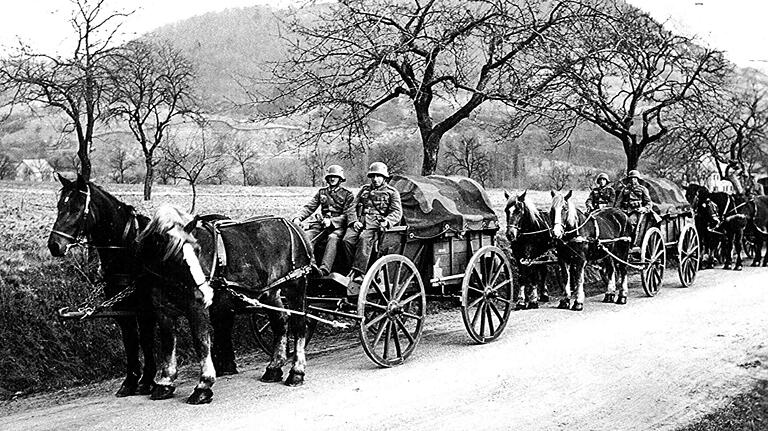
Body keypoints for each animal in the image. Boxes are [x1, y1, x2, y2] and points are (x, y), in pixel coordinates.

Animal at [47, 173, 157, 398]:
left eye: (76, 208)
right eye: (59, 206)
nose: (54, 245)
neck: (129, 246)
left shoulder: (145, 307)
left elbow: (146, 339)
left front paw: (147, 380)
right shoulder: (122, 308)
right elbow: (130, 340)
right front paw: (130, 382)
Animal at [136, 206, 314, 404]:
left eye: (197, 250)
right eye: (175, 257)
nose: (206, 293)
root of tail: (295, 227)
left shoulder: (197, 308)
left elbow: (201, 342)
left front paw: (203, 385)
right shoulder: (163, 310)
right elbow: (167, 344)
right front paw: (165, 383)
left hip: (295, 286)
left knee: (299, 325)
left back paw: (296, 372)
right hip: (270, 292)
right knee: (280, 322)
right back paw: (274, 368)